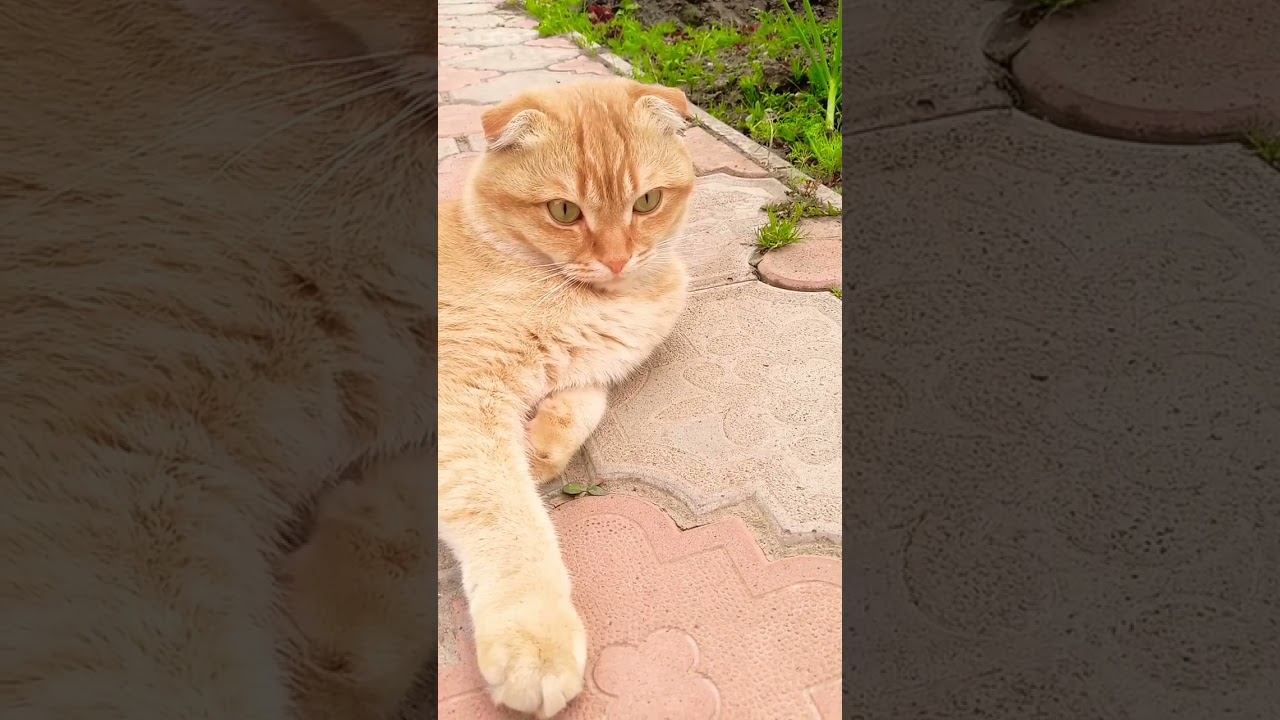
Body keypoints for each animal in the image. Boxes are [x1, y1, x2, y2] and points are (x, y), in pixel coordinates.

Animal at [438, 77, 695, 716]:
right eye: (563, 211)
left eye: (647, 202)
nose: (617, 259)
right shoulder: (460, 398)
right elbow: (509, 514)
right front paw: (535, 638)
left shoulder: (602, 365)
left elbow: (585, 399)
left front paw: (542, 447)